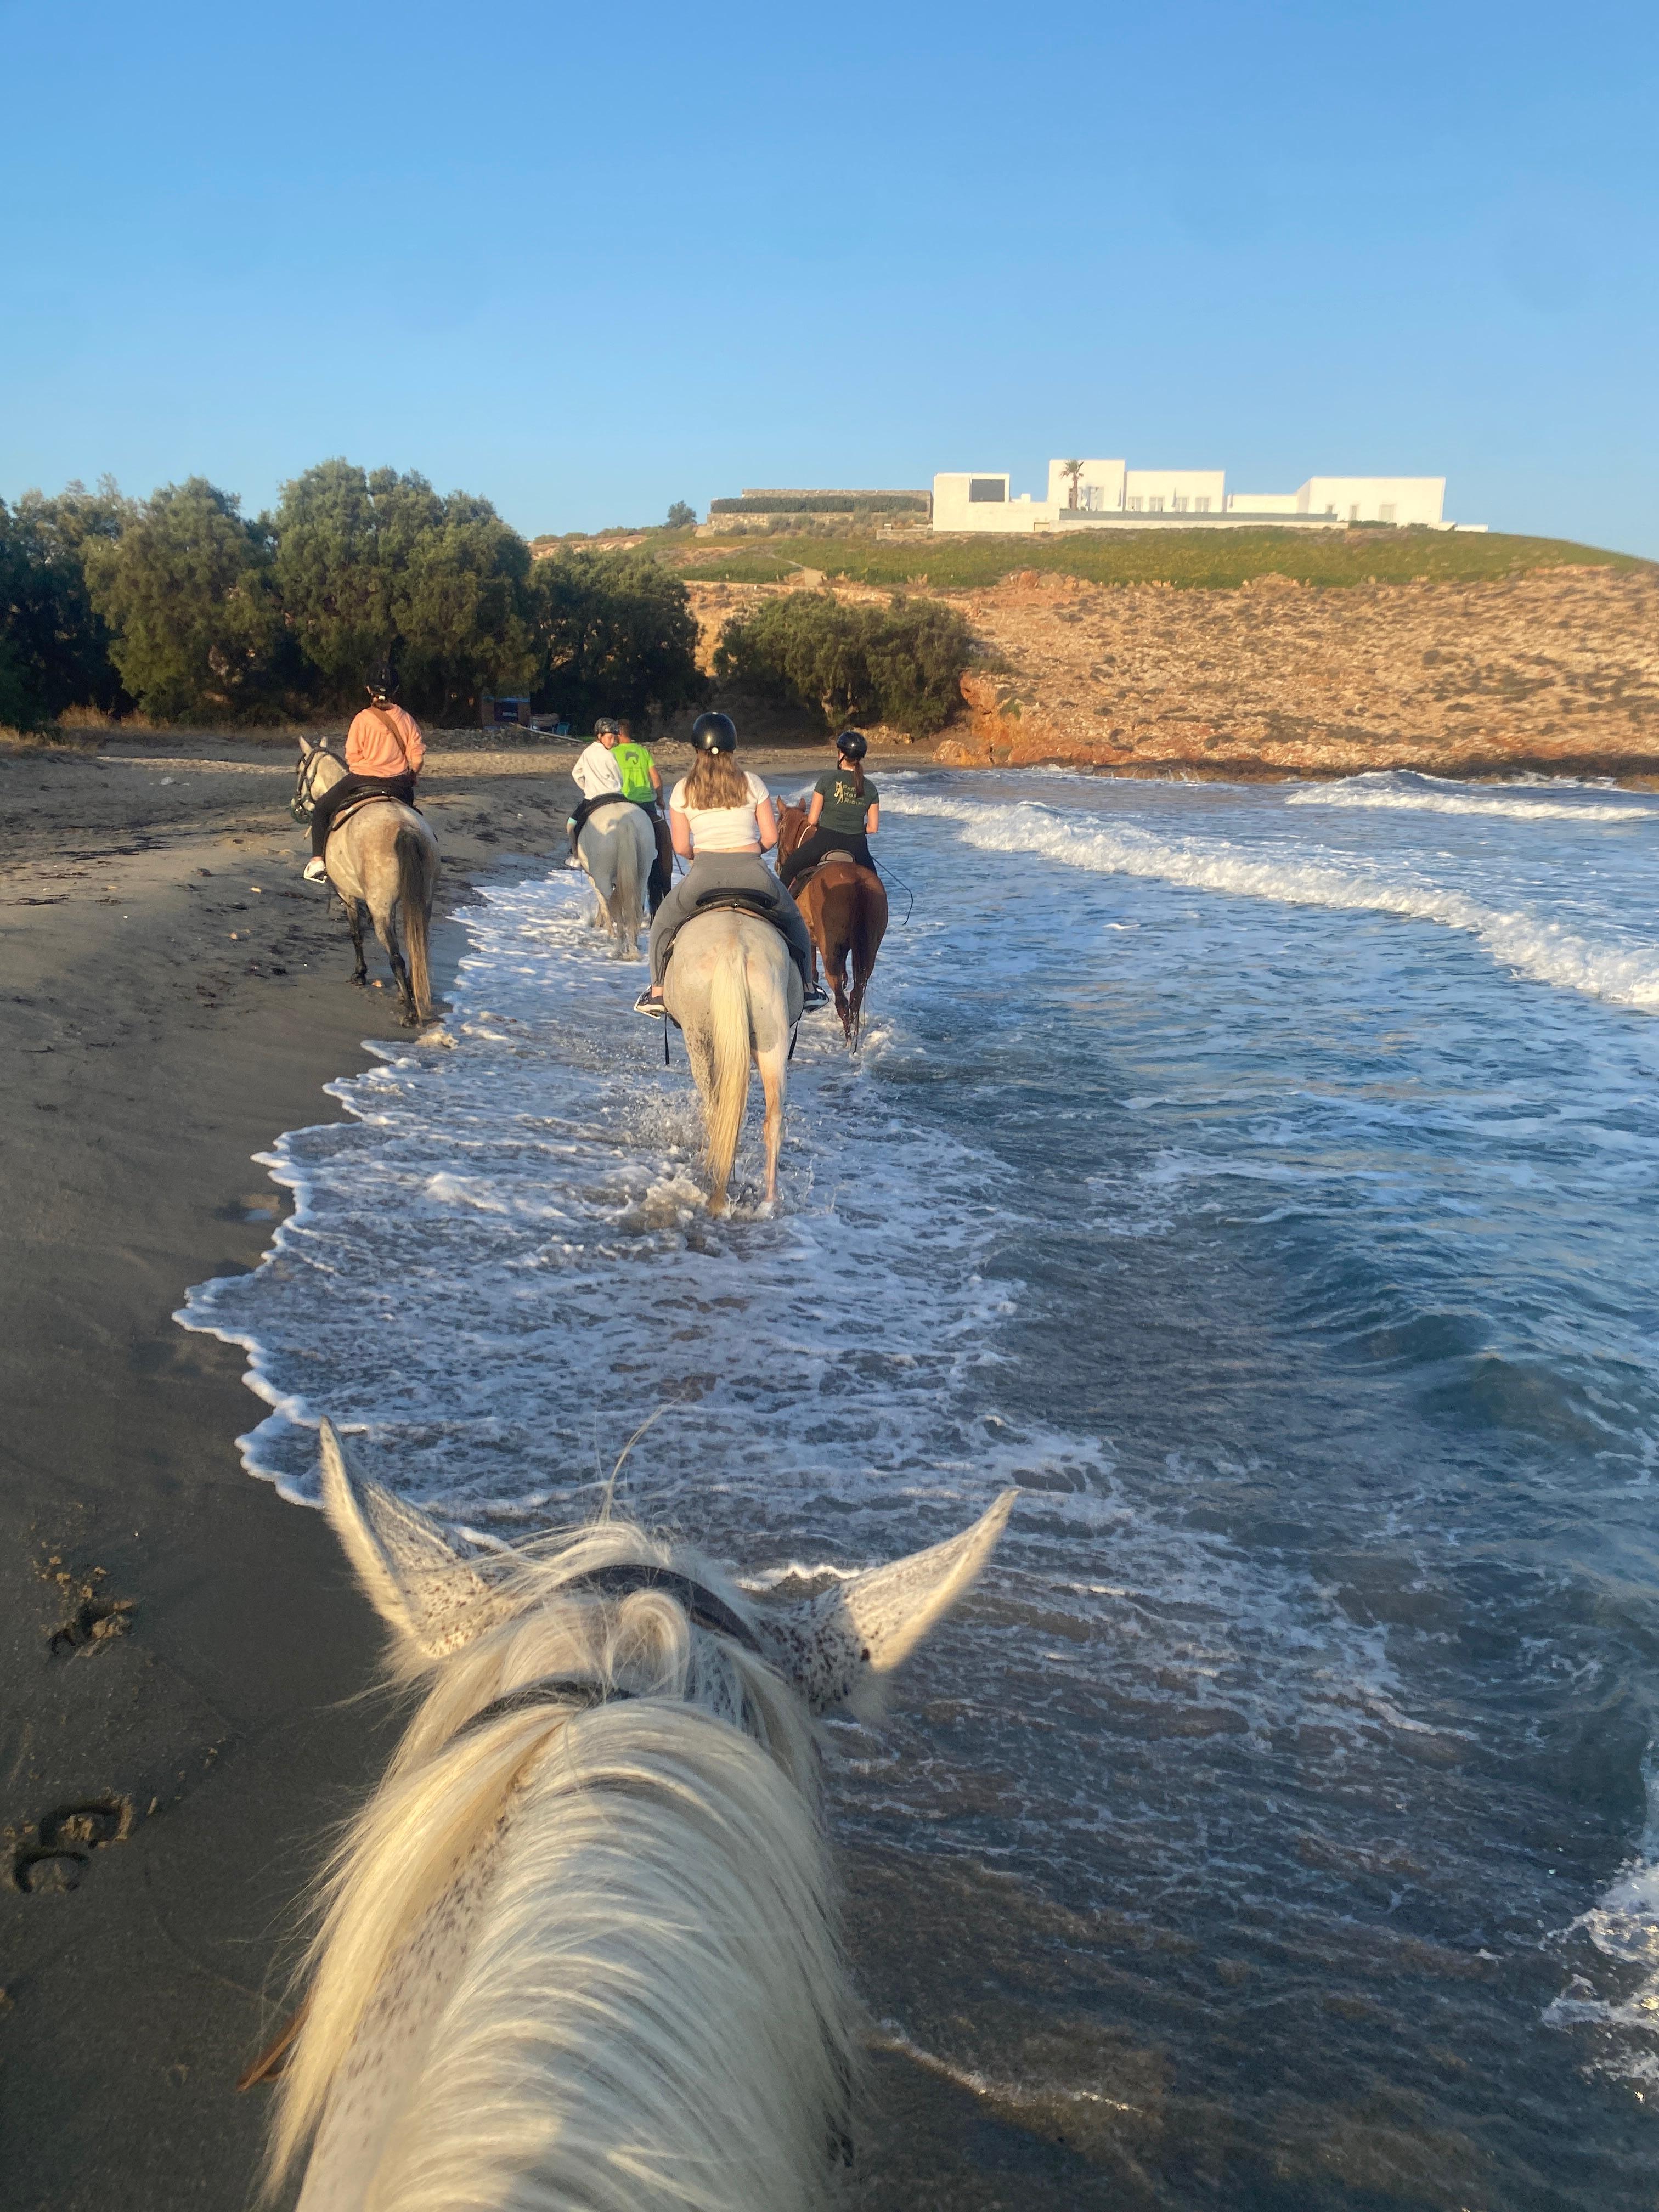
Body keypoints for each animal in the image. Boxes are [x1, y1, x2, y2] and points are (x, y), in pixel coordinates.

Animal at [296, 734, 442, 1026]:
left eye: (298, 771)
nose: (294, 806)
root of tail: (405, 828)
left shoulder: (348, 895)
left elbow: (356, 934)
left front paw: (360, 974)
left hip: (380, 908)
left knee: (396, 956)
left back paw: (410, 1013)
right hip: (423, 901)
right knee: (414, 950)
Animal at [579, 805, 654, 960]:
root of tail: (625, 822)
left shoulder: (594, 878)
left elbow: (603, 902)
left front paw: (604, 927)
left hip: (602, 876)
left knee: (614, 905)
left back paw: (619, 948)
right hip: (643, 874)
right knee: (636, 907)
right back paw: (633, 945)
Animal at [783, 809, 898, 1048]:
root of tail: (857, 882)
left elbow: (812, 967)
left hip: (831, 952)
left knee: (842, 1000)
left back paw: (846, 1037)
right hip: (869, 950)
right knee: (857, 992)